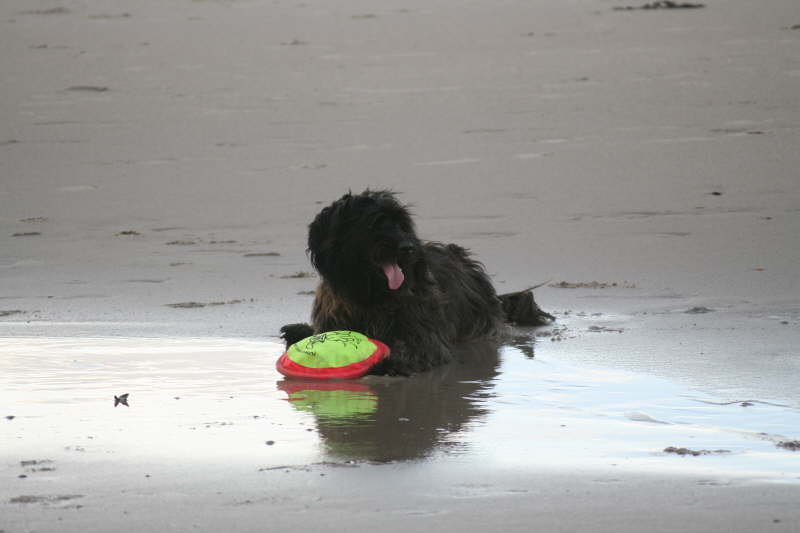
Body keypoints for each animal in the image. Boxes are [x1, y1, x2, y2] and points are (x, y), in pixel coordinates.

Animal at [280, 190, 552, 374]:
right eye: (375, 223)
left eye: (402, 223)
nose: (409, 247)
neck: (371, 295)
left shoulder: (425, 334)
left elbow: (417, 349)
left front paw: (388, 361)